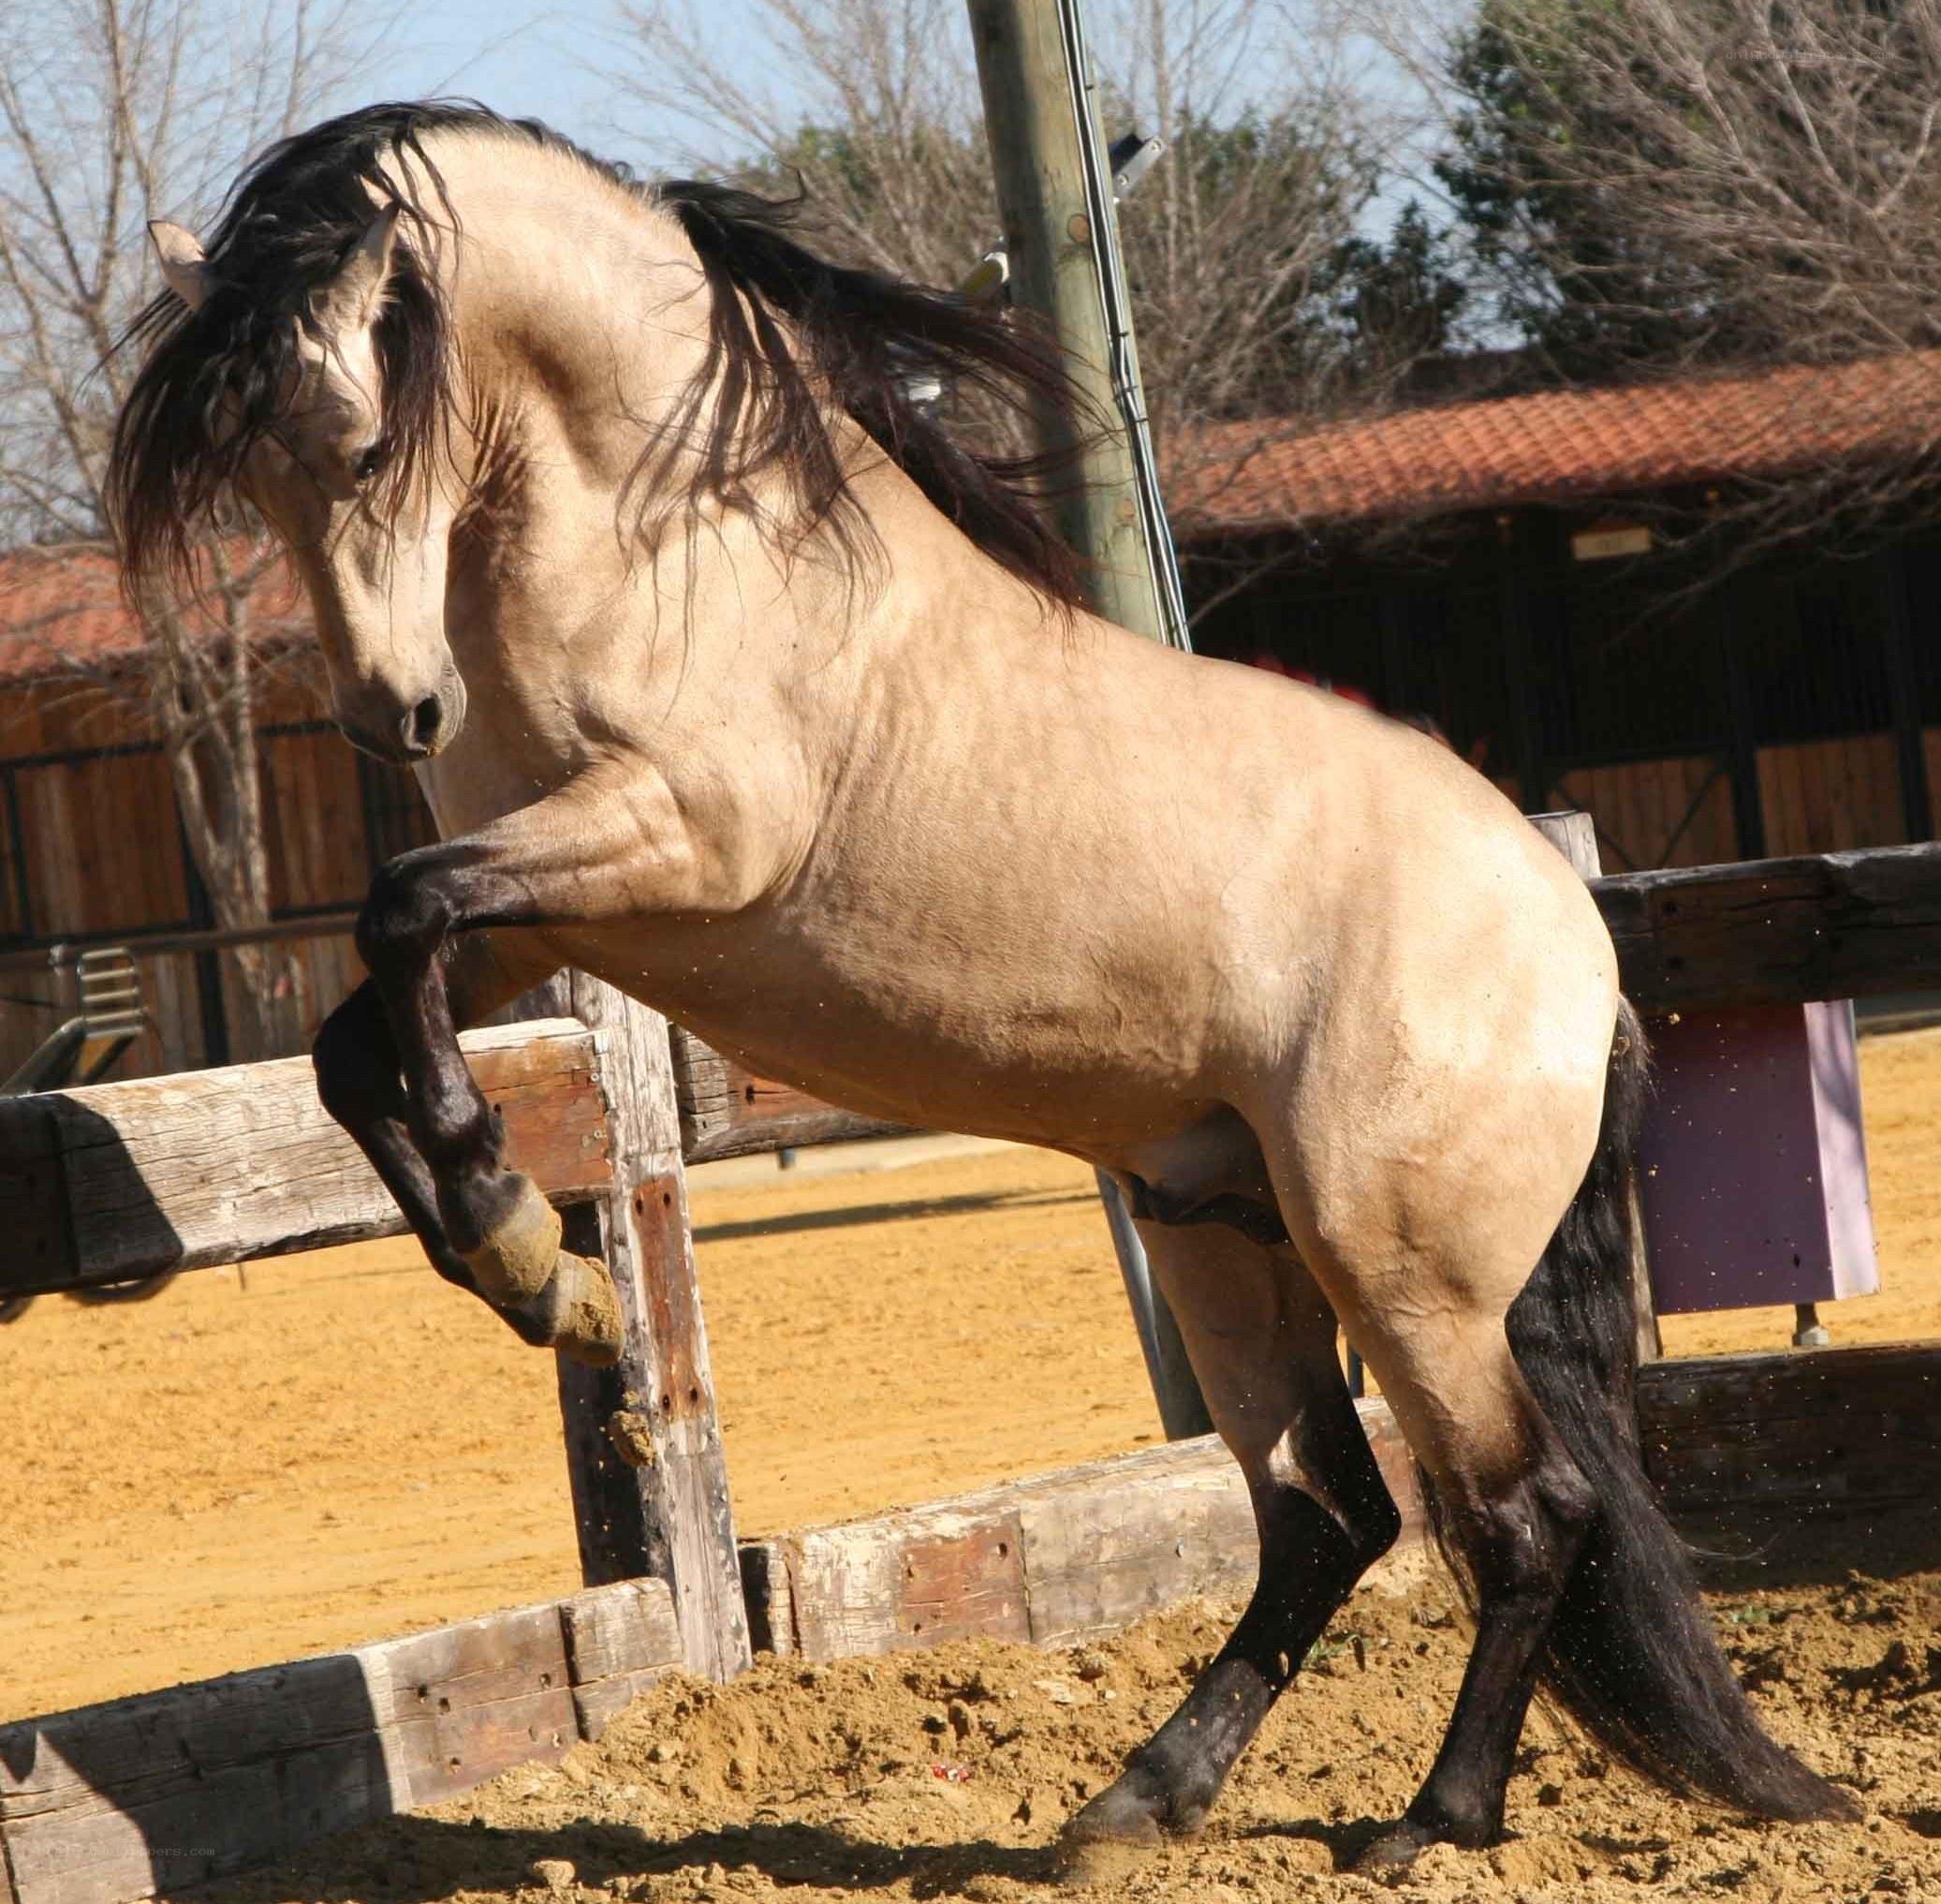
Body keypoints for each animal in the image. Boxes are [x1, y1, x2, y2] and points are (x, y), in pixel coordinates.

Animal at [106, 101, 1857, 1874]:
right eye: (251, 473)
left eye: (357, 438)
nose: (392, 711)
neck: (681, 544)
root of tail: (1574, 946)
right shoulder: (556, 922)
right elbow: (356, 1027)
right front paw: (538, 1269)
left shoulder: (678, 842)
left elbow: (395, 913)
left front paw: (522, 1236)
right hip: (1220, 1236)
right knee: (1327, 1513)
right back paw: (1130, 1805)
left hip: (1405, 1274)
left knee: (1519, 1516)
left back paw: (1428, 1820)